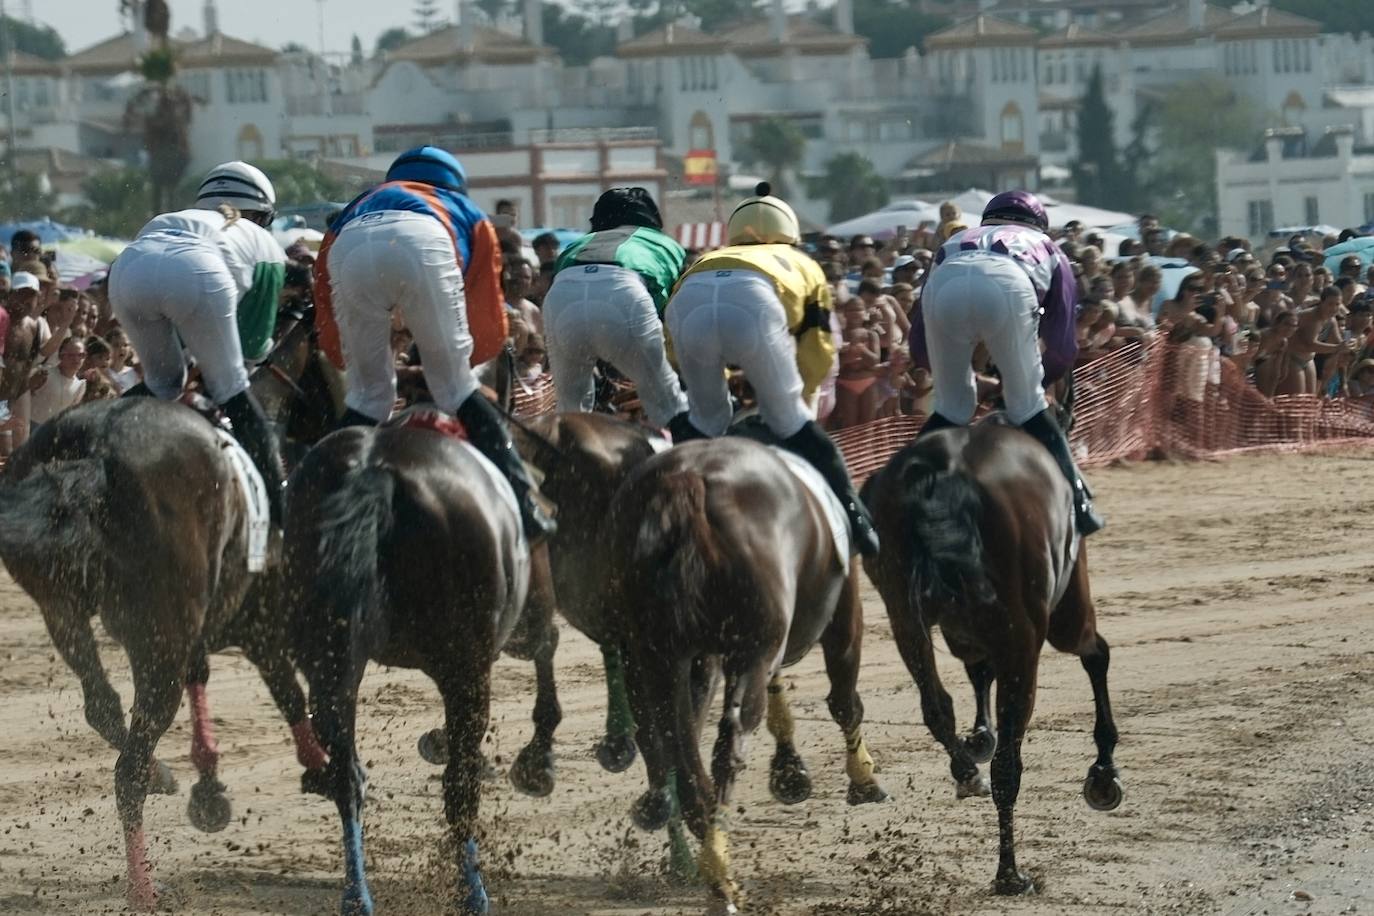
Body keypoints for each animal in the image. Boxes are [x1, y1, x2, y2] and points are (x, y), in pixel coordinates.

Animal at [285, 414, 533, 916]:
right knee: (459, 787)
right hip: (465, 670)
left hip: (331, 661)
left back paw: (356, 895)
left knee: (347, 777)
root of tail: (375, 471)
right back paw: (472, 893)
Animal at [610, 436, 889, 913]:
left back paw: (706, 846)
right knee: (729, 741)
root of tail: (688, 480)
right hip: (749, 650)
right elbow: (843, 699)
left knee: (677, 745)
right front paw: (862, 776)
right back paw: (720, 877)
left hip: (660, 656)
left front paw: (790, 772)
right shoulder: (840, 612)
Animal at [859, 420, 1123, 895]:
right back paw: (1010, 872)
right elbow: (1096, 655)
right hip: (1031, 635)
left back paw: (968, 773)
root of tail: (942, 472)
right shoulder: (1057, 615)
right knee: (1009, 767)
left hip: (904, 618)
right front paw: (1103, 772)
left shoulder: (960, 629)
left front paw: (979, 737)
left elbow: (975, 674)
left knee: (936, 706)